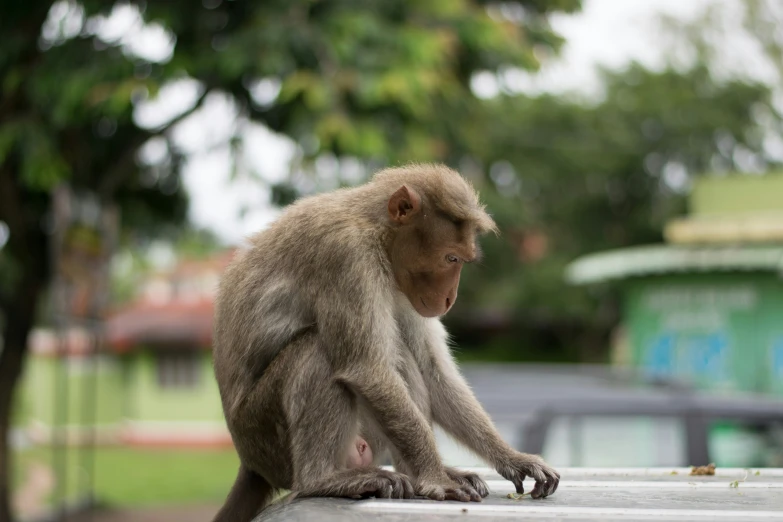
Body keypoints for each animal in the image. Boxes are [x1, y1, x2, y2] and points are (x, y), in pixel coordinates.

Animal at [211, 164, 560, 520]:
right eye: (451, 259)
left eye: (461, 259)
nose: (450, 298)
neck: (376, 230)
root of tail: (250, 463)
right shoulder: (346, 256)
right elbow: (367, 369)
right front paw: (437, 479)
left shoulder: (404, 286)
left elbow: (433, 371)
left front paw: (513, 459)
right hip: (266, 435)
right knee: (318, 350)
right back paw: (322, 479)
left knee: (401, 356)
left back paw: (413, 473)